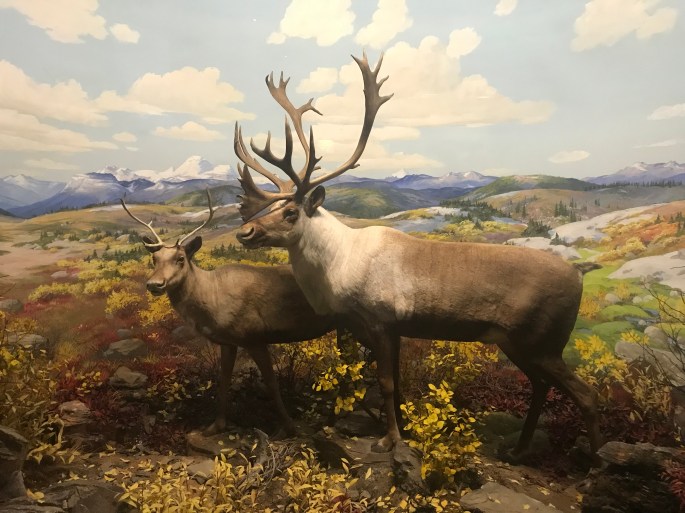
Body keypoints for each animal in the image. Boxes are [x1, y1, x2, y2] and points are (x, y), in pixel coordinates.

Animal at [120, 191, 337, 437]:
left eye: (181, 259)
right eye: (154, 259)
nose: (154, 284)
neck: (212, 299)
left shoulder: (255, 337)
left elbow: (271, 382)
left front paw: (289, 426)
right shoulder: (227, 341)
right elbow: (223, 380)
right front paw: (216, 425)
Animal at [233, 53, 602, 462]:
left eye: (290, 212)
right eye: (270, 206)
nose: (245, 232)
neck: (339, 268)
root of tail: (581, 272)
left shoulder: (381, 320)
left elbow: (387, 383)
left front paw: (390, 440)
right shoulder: (386, 329)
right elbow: (396, 384)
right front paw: (403, 432)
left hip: (543, 341)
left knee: (587, 393)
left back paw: (595, 462)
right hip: (518, 343)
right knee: (541, 386)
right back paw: (519, 450)